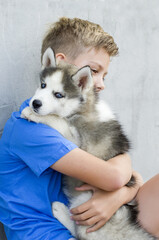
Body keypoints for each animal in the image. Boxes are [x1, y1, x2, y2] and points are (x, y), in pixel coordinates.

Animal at [21, 47, 155, 239]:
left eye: (59, 95)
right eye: (43, 85)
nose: (35, 103)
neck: (82, 108)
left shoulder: (80, 146)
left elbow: (58, 121)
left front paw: (32, 113)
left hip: (87, 201)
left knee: (81, 233)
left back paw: (60, 209)